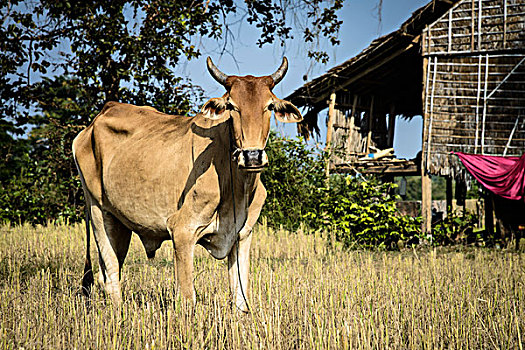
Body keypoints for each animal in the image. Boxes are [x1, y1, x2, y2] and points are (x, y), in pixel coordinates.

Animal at [71, 57, 300, 312]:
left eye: (269, 106)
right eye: (231, 106)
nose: (252, 157)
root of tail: (95, 121)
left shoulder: (242, 235)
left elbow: (240, 297)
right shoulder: (182, 231)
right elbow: (188, 297)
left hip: (120, 223)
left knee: (109, 272)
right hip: (98, 211)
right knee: (110, 274)